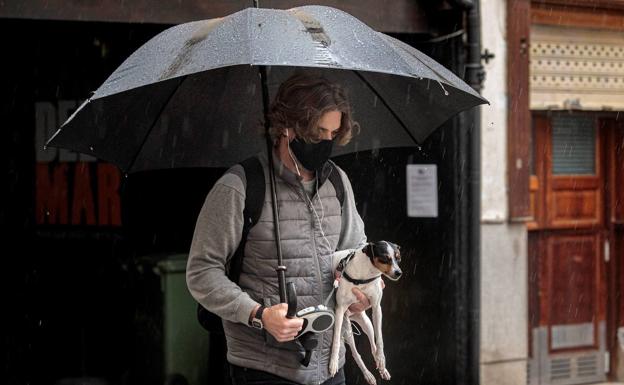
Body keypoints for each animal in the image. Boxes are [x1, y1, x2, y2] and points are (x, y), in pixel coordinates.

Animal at [330, 238, 402, 382]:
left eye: (398, 258)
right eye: (385, 258)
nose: (398, 273)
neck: (366, 274)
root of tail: (351, 315)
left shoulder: (376, 308)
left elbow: (379, 340)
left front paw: (382, 359)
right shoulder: (339, 310)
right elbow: (335, 340)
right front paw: (333, 362)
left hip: (367, 323)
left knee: (373, 346)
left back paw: (381, 366)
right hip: (347, 328)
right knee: (356, 353)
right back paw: (368, 375)